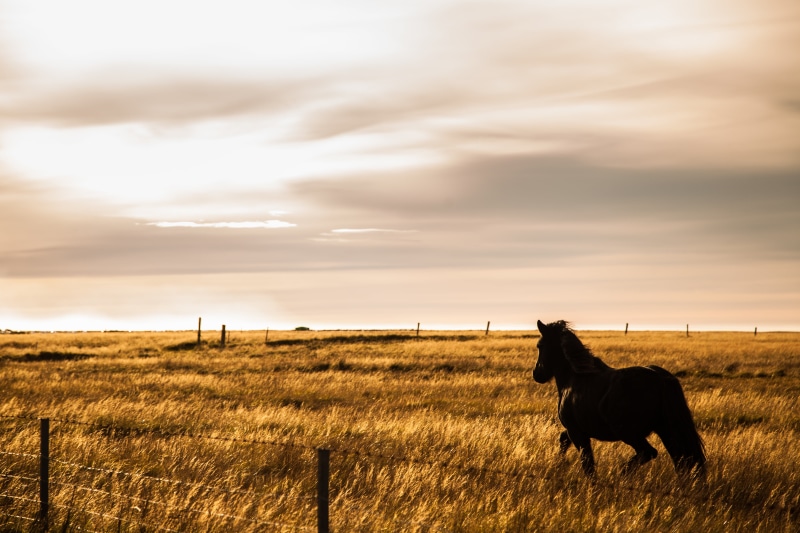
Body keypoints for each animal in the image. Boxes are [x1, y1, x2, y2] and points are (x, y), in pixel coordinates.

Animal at [532, 320, 706, 478]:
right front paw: (559, 464)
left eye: (540, 345)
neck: (574, 379)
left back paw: (621, 473)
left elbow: (588, 465)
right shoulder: (576, 430)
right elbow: (564, 440)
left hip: (628, 432)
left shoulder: (576, 431)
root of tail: (661, 379)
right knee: (680, 460)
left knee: (649, 452)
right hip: (665, 430)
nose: (537, 374)